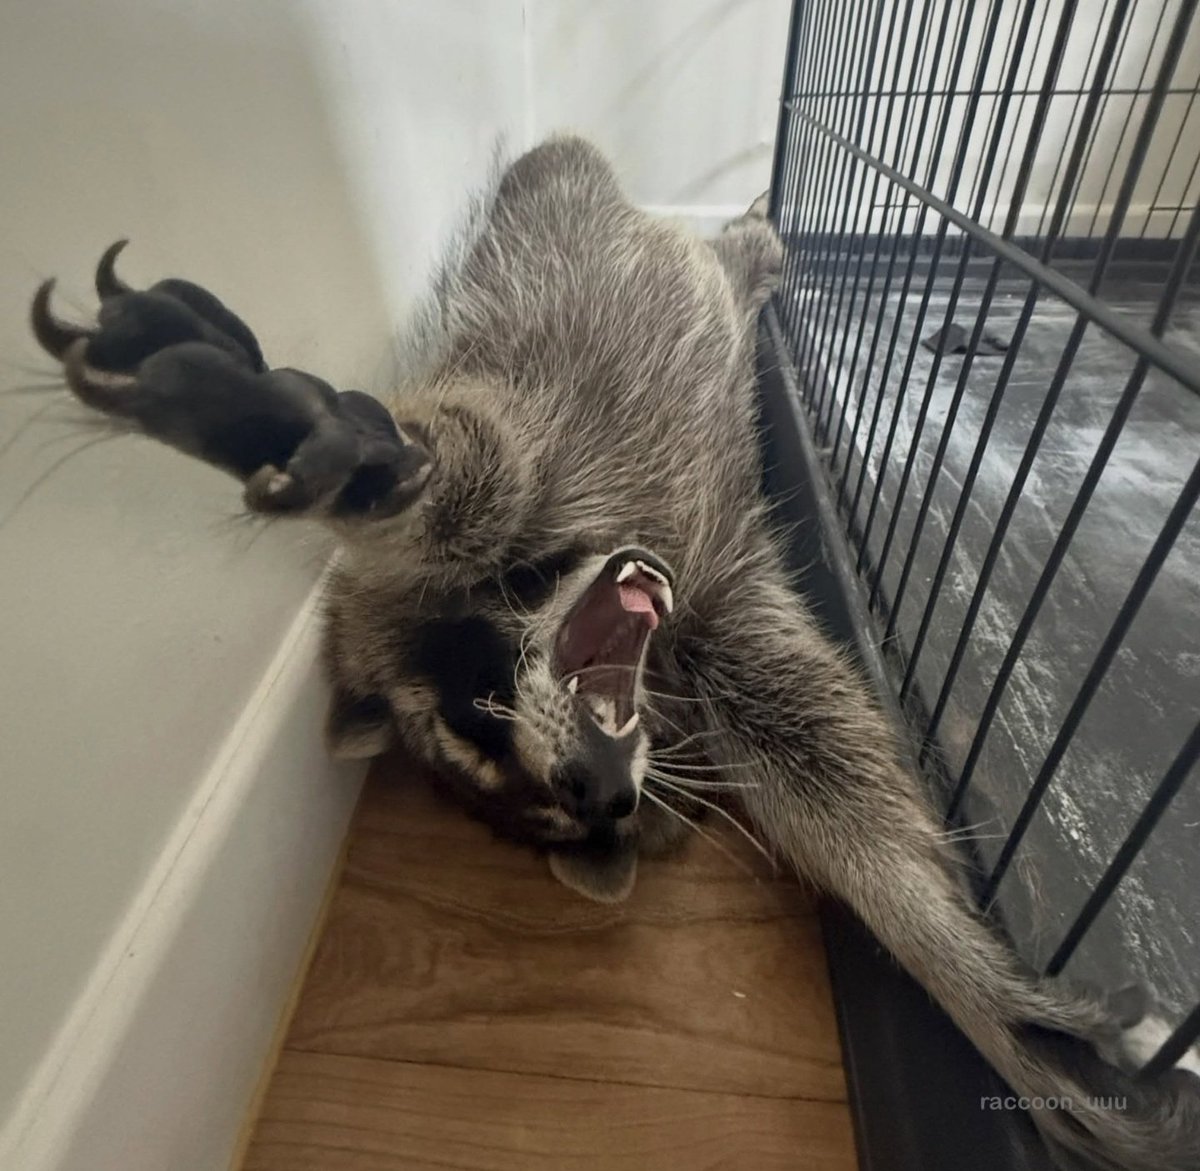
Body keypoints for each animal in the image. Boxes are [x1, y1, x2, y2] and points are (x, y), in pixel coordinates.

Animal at [28, 136, 1200, 1170]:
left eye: (482, 705)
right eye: (553, 814)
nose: (596, 790)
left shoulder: (616, 501)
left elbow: (478, 485)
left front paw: (954, 959)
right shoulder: (715, 618)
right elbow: (824, 768)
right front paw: (953, 957)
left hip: (556, 190)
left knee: (591, 191)